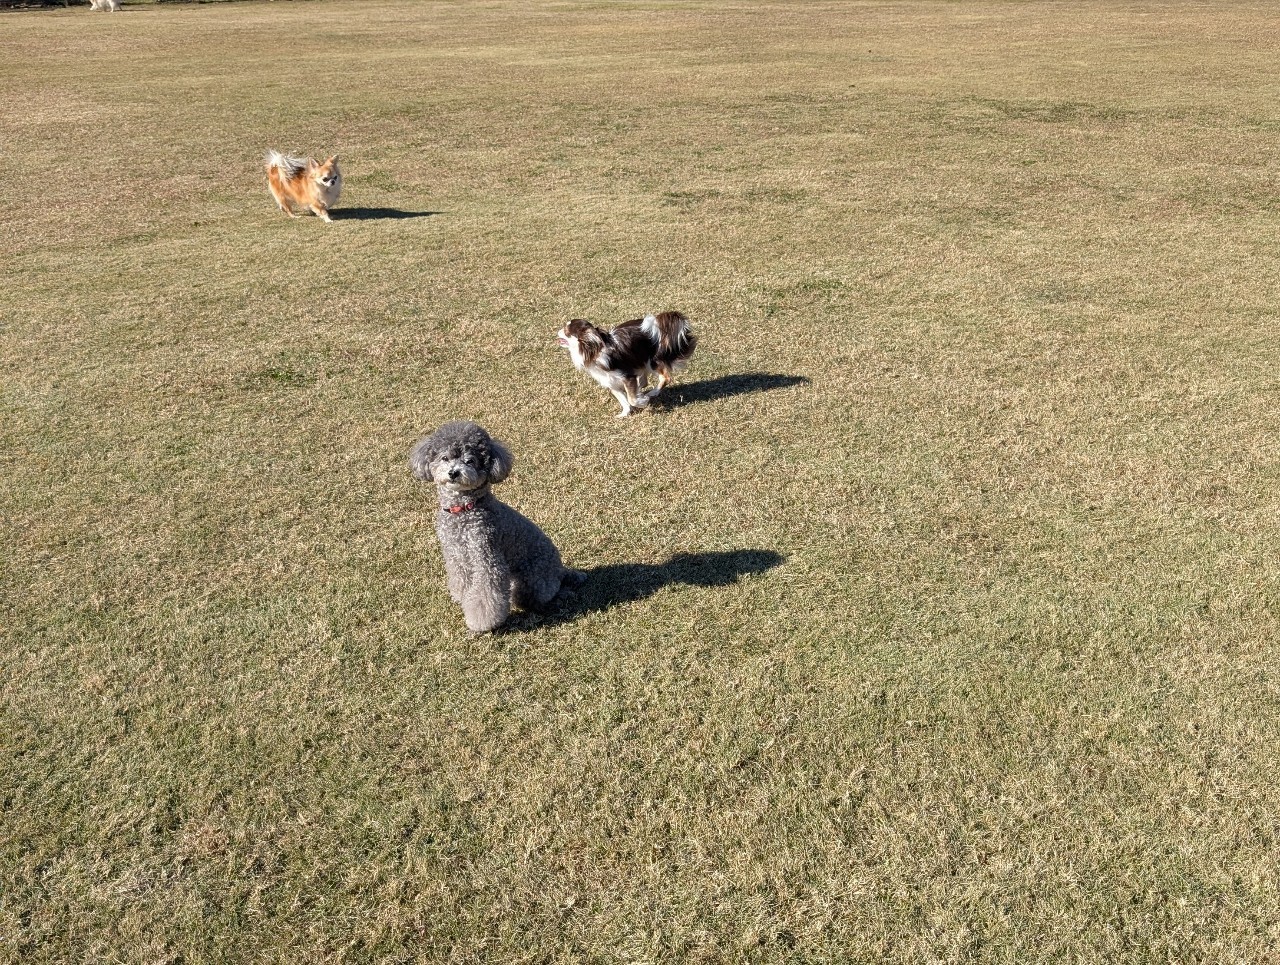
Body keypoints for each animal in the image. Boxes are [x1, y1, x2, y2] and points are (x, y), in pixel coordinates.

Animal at [409, 421, 584, 634]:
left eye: (470, 461)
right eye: (445, 458)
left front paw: (481, 623)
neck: (464, 510)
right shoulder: (456, 557)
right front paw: (462, 598)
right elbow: (462, 581)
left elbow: (487, 593)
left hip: (533, 579)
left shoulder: (487, 558)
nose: (453, 472)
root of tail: (560, 570)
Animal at [556, 311, 697, 417]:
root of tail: (657, 325)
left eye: (566, 331)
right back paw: (641, 388)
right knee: (644, 380)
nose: (557, 331)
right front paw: (624, 414)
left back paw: (651, 393)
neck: (594, 351)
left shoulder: (626, 376)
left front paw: (642, 402)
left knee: (665, 378)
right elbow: (623, 399)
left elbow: (631, 399)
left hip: (653, 361)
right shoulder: (611, 381)